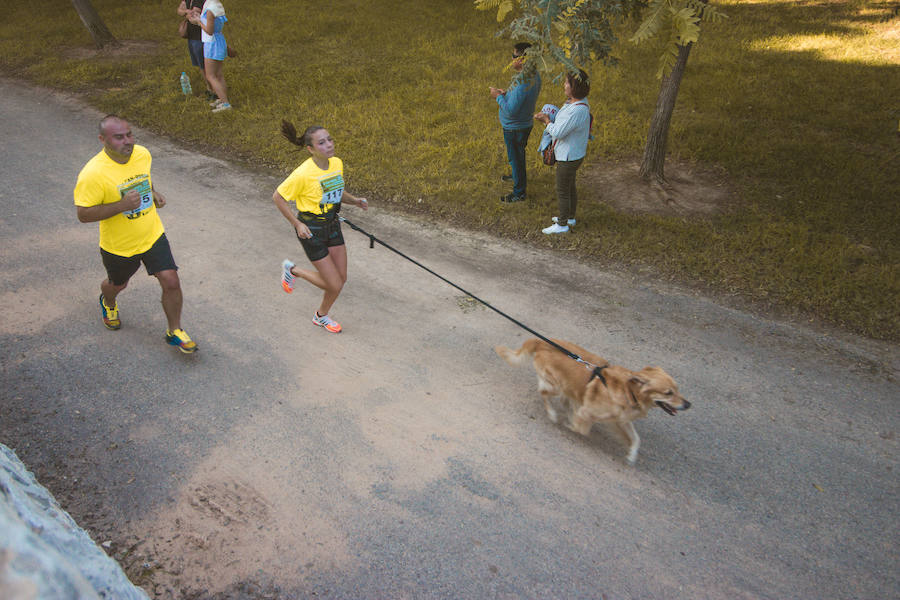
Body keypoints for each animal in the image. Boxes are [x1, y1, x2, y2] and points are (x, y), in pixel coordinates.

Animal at [496, 338, 692, 464]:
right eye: (668, 393)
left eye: (677, 389)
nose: (688, 404)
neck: (629, 390)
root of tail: (542, 342)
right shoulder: (589, 412)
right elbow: (582, 427)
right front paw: (571, 423)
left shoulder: (622, 420)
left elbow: (636, 439)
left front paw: (631, 455)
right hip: (555, 385)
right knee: (544, 393)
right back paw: (553, 414)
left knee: (563, 398)